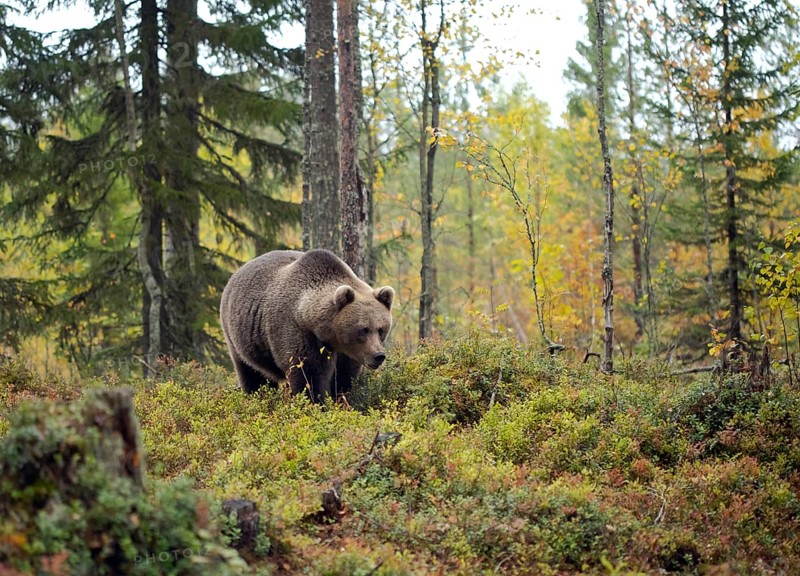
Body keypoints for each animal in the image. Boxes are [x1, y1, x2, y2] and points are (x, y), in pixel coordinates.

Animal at [219, 249, 395, 402]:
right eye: (363, 330)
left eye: (381, 329)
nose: (378, 355)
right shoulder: (297, 332)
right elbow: (309, 375)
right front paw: (316, 403)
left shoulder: (348, 354)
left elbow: (344, 377)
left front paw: (341, 399)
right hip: (241, 337)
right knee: (252, 373)